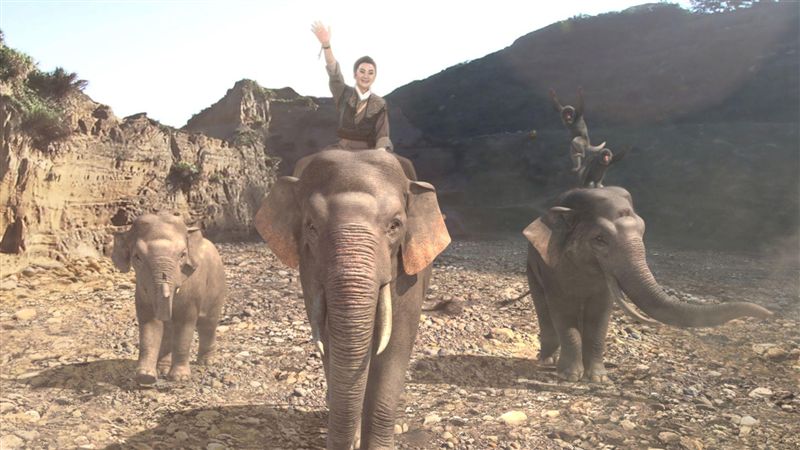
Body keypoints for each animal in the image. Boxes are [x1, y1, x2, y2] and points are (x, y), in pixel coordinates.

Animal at [112, 213, 227, 386]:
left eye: (182, 255)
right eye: (137, 257)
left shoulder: (192, 289)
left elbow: (185, 323)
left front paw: (179, 378)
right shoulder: (141, 290)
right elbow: (150, 324)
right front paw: (145, 377)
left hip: (216, 283)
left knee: (208, 323)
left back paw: (207, 362)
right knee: (168, 330)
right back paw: (162, 369)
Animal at [254, 149, 450, 449]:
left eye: (395, 225)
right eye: (311, 226)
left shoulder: (409, 279)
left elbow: (397, 343)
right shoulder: (310, 274)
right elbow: (331, 342)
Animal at [523, 187, 772, 382]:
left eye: (643, 232)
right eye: (599, 239)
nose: (768, 313)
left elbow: (600, 315)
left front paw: (598, 379)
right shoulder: (551, 265)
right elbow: (562, 311)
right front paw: (569, 377)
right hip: (532, 267)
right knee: (543, 307)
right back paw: (547, 360)